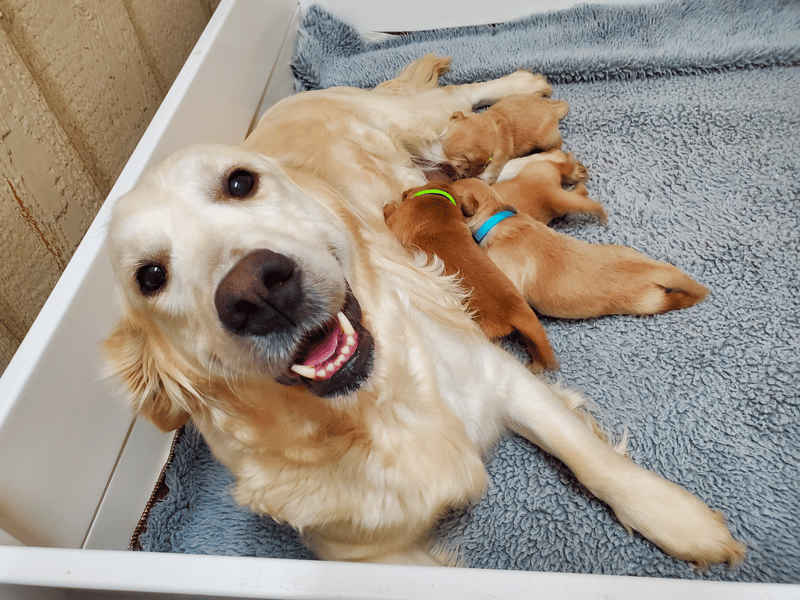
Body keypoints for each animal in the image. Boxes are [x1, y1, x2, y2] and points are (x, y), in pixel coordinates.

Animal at [438, 91, 568, 183]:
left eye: (457, 165)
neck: (492, 128)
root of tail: (552, 110)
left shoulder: (490, 173)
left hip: (546, 140)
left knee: (558, 143)